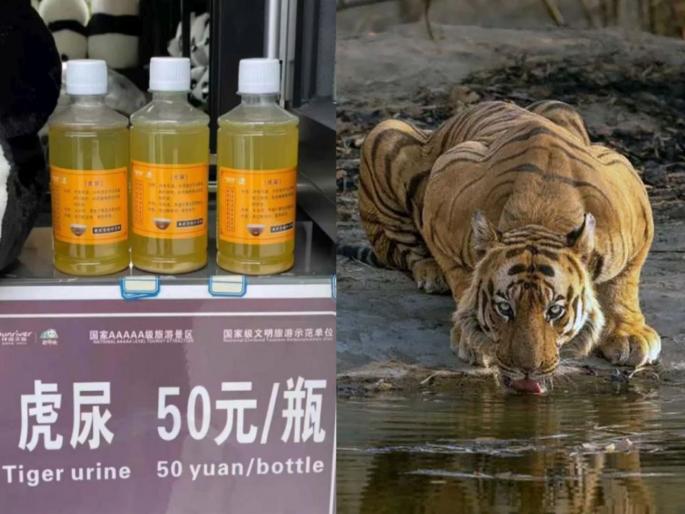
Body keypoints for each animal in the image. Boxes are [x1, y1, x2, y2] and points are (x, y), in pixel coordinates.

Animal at [354, 100, 660, 393]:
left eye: (555, 311)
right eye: (504, 308)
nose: (527, 371)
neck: (541, 215)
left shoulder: (633, 198)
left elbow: (624, 284)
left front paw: (630, 335)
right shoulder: (445, 183)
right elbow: (462, 277)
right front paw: (472, 334)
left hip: (561, 107)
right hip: (386, 132)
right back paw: (431, 273)